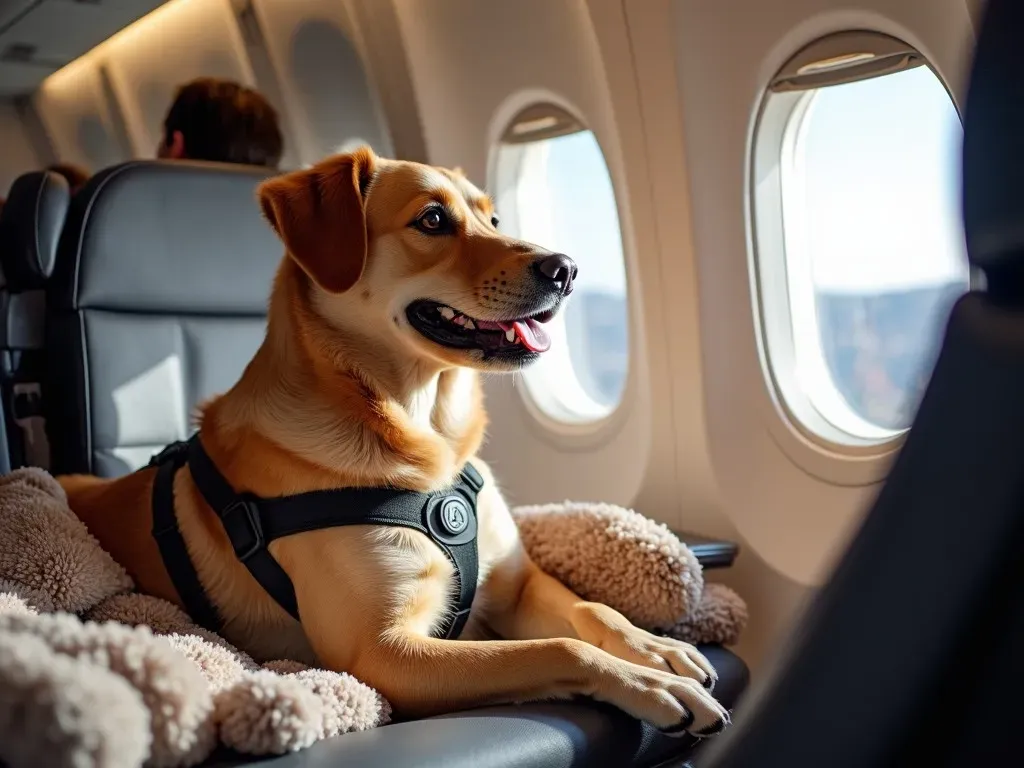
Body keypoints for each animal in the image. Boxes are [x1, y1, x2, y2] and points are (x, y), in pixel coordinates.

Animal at [59, 145, 729, 741]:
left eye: (492, 220)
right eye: (431, 219)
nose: (564, 268)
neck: (423, 440)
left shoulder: (517, 584)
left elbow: (592, 610)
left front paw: (656, 651)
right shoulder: (382, 653)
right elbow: (556, 648)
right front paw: (649, 684)